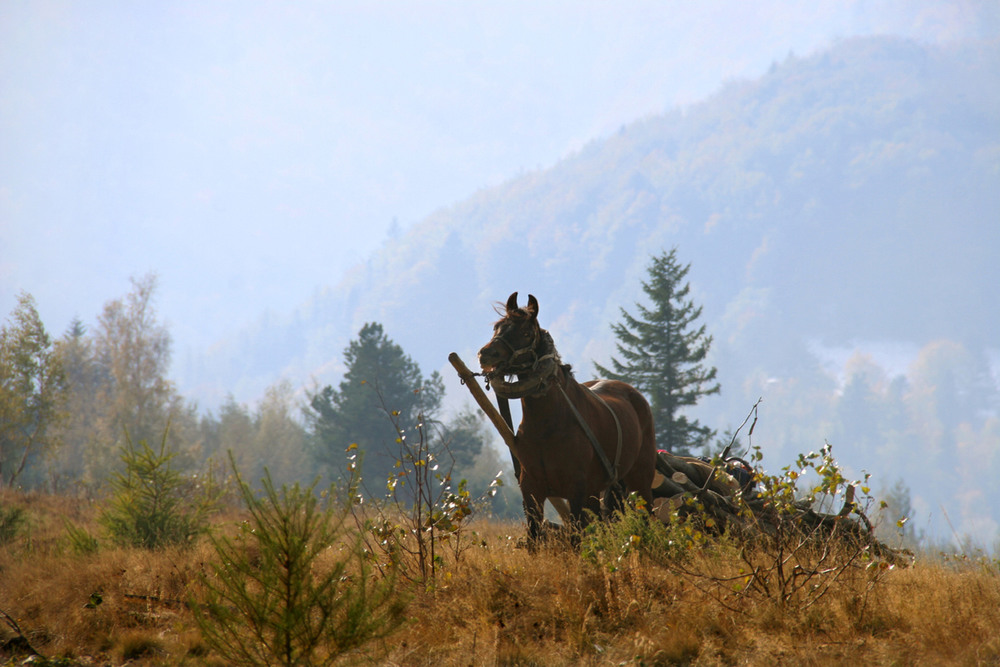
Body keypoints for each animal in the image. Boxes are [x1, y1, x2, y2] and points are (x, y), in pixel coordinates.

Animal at [476, 292, 656, 544]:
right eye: (497, 326)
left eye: (526, 332)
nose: (486, 354)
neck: (547, 426)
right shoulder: (531, 490)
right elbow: (534, 539)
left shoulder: (577, 490)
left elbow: (577, 540)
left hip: (641, 479)